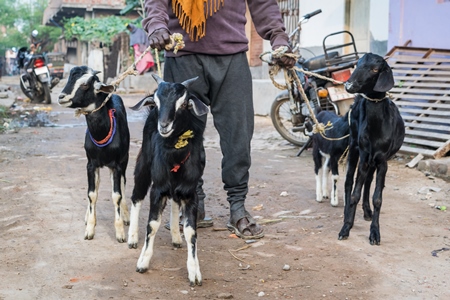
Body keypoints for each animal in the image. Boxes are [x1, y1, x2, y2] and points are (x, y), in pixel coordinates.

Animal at [58, 65, 130, 241]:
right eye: (69, 78)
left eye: (85, 85)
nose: (61, 97)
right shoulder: (91, 164)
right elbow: (92, 193)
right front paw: (90, 229)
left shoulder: (117, 165)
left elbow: (117, 194)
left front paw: (120, 233)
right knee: (96, 187)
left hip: (124, 160)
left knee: (123, 184)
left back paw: (126, 215)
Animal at [127, 73, 208, 286]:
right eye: (156, 102)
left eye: (183, 104)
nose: (163, 126)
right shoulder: (158, 188)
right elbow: (152, 224)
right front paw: (143, 262)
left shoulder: (190, 192)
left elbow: (191, 231)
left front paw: (194, 271)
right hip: (144, 165)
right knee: (136, 196)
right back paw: (132, 238)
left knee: (174, 201)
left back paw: (176, 237)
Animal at [340, 52, 406, 245]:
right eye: (357, 64)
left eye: (375, 69)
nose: (349, 85)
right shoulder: (363, 155)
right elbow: (354, 193)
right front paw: (346, 227)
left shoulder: (383, 160)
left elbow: (378, 197)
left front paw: (375, 232)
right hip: (353, 146)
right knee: (349, 181)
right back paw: (347, 213)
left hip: (373, 161)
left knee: (368, 181)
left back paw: (367, 211)